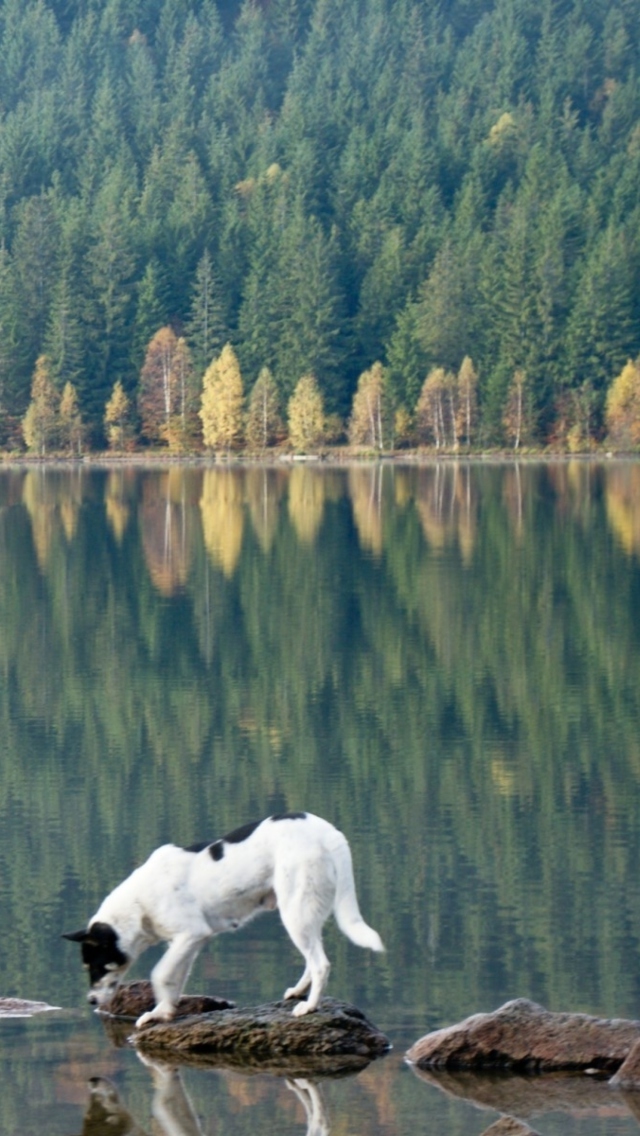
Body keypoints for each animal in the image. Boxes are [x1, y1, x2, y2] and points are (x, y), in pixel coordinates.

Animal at [63, 808, 386, 1031]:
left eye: (96, 966)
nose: (90, 1002)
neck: (139, 904)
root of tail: (329, 832)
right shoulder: (189, 943)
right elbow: (174, 981)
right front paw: (163, 1013)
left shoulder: (191, 934)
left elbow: (160, 974)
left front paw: (159, 1011)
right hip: (304, 914)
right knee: (313, 959)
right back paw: (298, 993)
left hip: (295, 912)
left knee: (321, 964)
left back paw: (309, 1007)